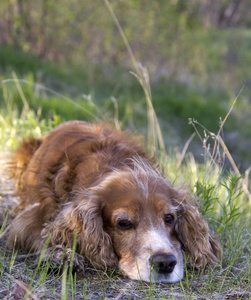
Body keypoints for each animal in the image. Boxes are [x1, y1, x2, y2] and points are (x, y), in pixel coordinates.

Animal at [7, 120, 220, 282]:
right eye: (123, 223)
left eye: (169, 218)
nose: (165, 263)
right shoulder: (27, 221)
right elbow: (40, 236)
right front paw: (60, 255)